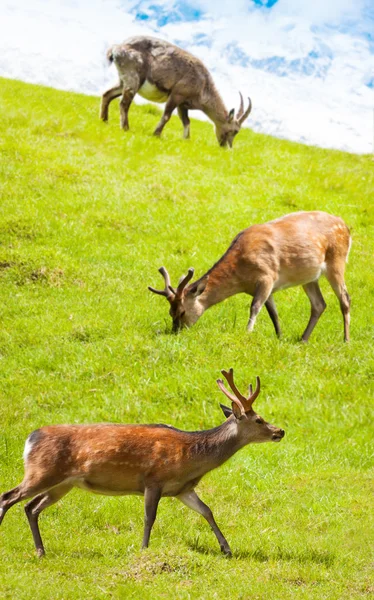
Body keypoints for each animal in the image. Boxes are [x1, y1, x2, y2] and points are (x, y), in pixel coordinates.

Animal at [0, 370, 284, 556]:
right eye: (259, 419)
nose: (280, 431)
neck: (191, 458)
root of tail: (30, 439)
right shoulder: (153, 479)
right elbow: (150, 517)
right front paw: (144, 548)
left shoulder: (182, 489)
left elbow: (207, 510)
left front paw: (226, 548)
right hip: (41, 471)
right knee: (8, 496)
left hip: (62, 483)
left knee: (31, 507)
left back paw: (41, 551)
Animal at [100, 35, 251, 147]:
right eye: (235, 130)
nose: (226, 147)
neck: (203, 85)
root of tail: (117, 48)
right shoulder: (177, 95)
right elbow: (166, 116)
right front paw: (156, 134)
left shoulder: (182, 104)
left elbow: (186, 121)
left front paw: (186, 140)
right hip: (133, 79)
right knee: (124, 103)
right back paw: (125, 128)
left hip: (122, 81)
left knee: (107, 94)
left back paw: (104, 120)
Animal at [148, 211, 350, 342]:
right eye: (170, 312)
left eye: (182, 312)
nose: (175, 331)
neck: (241, 278)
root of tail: (346, 227)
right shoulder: (267, 286)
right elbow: (273, 313)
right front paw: (279, 337)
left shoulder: (267, 276)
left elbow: (255, 307)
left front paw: (247, 332)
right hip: (310, 276)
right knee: (319, 304)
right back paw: (303, 339)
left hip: (337, 261)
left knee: (345, 299)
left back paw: (346, 340)